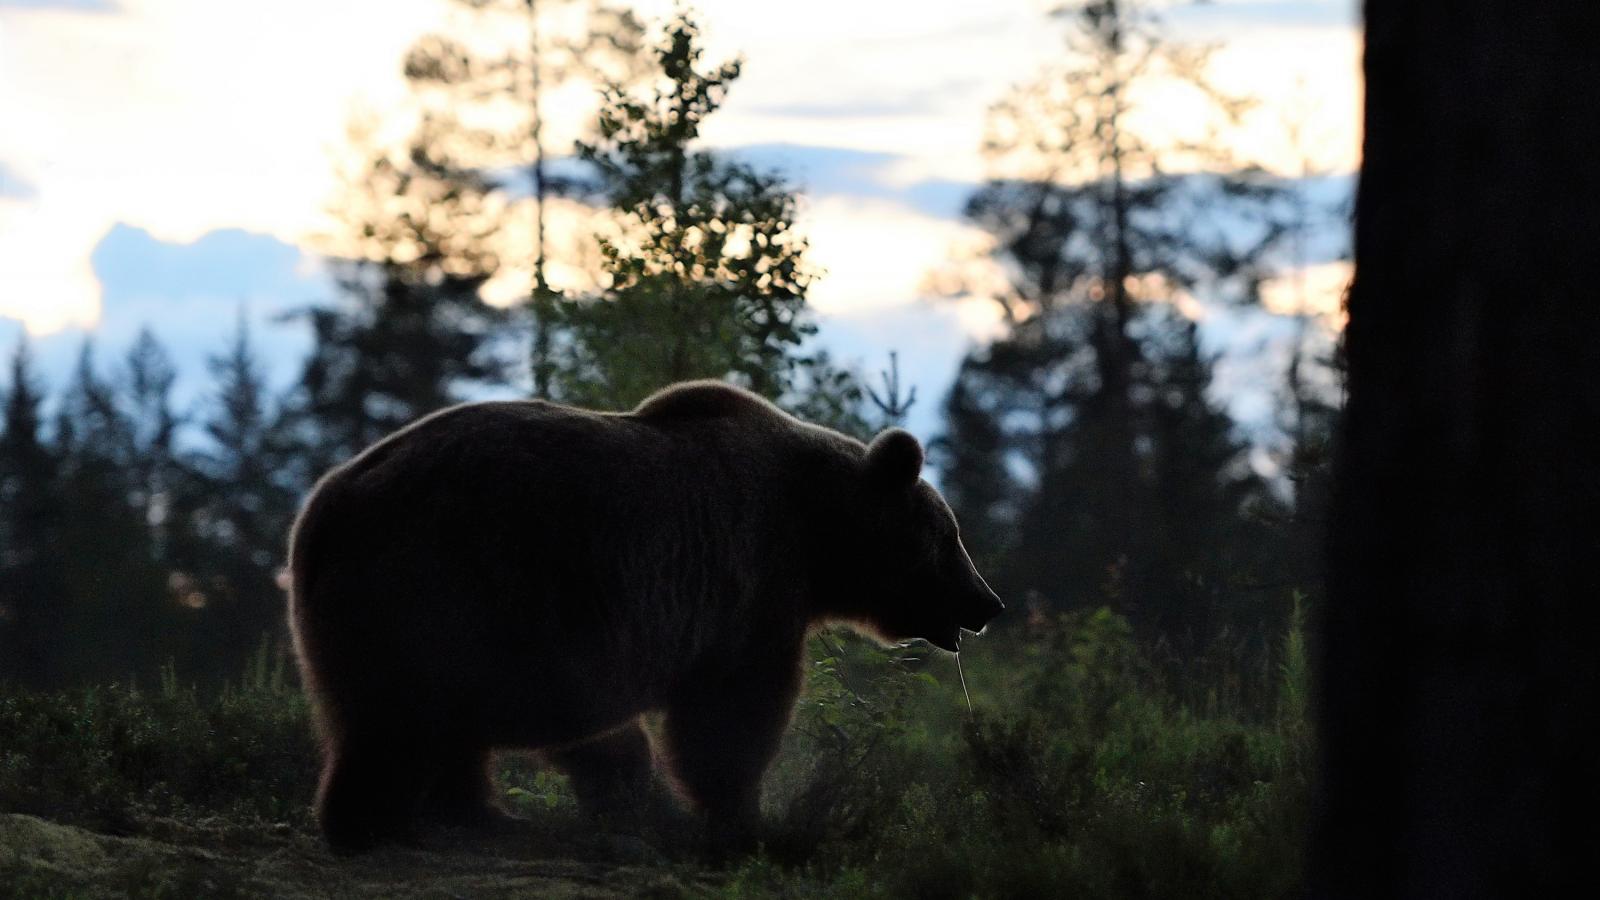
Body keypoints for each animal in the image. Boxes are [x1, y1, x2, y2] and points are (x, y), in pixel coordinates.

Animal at [288, 376, 998, 845]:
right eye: (949, 536)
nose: (987, 601)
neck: (818, 537)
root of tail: (322, 509)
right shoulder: (750, 589)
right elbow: (732, 715)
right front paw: (745, 817)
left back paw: (482, 814)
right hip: (443, 587)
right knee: (398, 721)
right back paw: (372, 818)